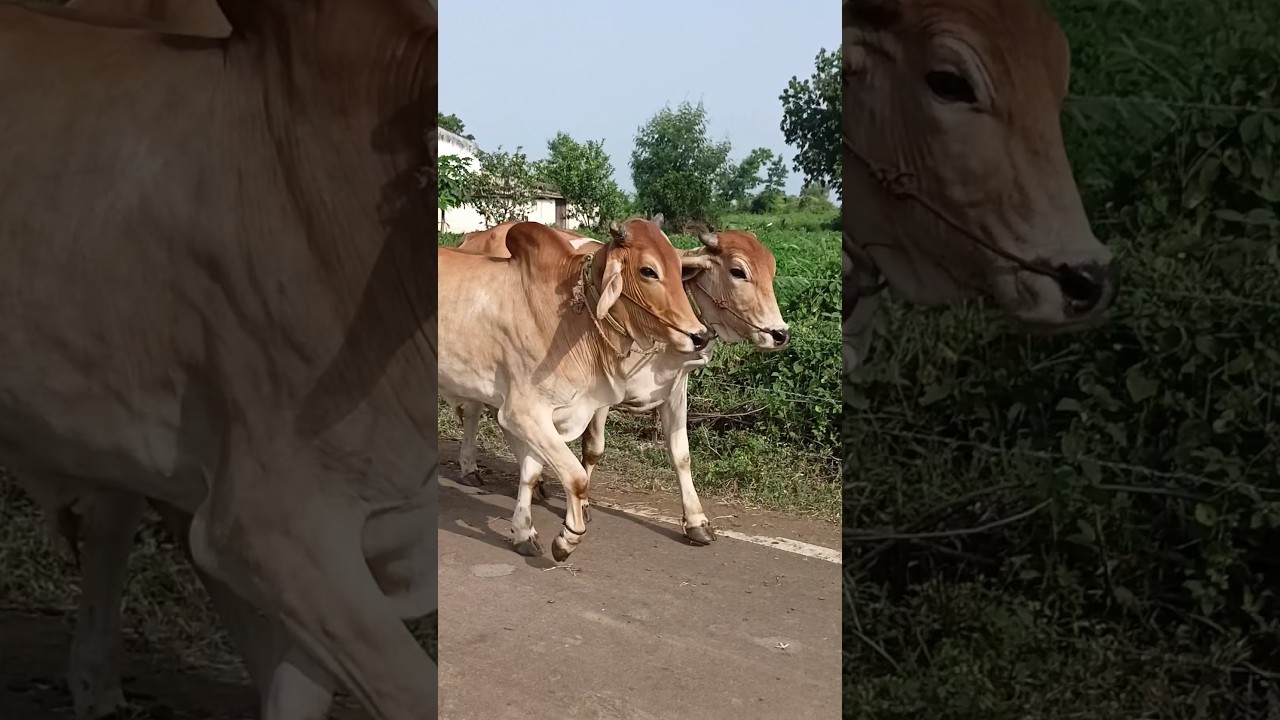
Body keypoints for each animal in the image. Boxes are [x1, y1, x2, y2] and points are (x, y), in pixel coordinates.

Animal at [447, 220, 789, 546]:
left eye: (773, 270)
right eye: (738, 271)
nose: (781, 333)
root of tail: (474, 236)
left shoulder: (676, 390)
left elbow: (681, 456)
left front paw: (697, 522)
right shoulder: (601, 392)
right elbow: (594, 449)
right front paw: (582, 506)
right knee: (477, 412)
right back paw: (471, 468)